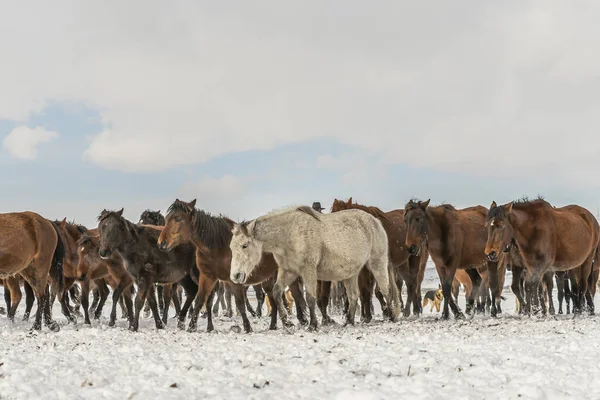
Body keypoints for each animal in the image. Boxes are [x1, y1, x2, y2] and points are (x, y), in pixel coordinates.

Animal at [157, 198, 308, 332]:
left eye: (178, 218)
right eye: (167, 218)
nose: (161, 242)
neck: (217, 246)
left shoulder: (233, 279)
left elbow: (240, 303)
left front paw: (247, 327)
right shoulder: (207, 277)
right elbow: (200, 300)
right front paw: (191, 326)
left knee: (296, 295)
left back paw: (303, 321)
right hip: (269, 278)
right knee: (273, 298)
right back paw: (273, 326)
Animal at [229, 205, 398, 330]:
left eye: (244, 245)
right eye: (231, 247)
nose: (235, 276)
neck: (290, 234)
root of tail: (375, 221)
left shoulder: (308, 271)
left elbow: (310, 297)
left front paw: (312, 325)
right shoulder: (289, 271)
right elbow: (277, 293)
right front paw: (287, 323)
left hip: (377, 263)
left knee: (386, 289)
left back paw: (392, 317)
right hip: (351, 274)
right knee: (353, 296)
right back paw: (349, 322)